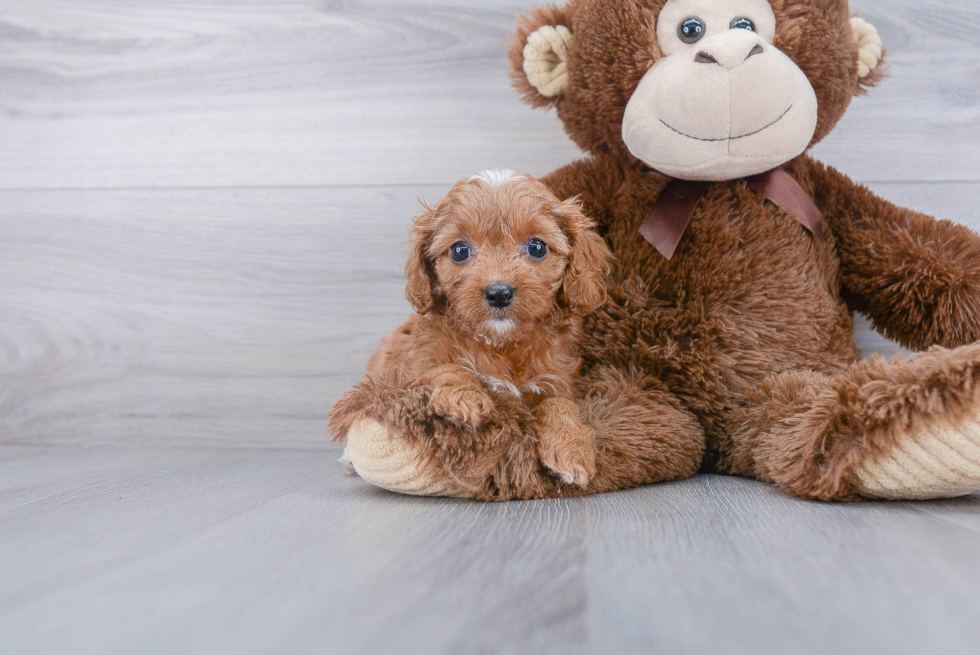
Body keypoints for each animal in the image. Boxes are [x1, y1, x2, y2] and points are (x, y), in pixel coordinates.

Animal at [340, 169, 608, 486]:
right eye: (459, 250)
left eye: (537, 247)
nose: (499, 292)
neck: (500, 342)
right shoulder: (408, 370)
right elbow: (442, 366)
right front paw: (465, 397)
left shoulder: (557, 380)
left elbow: (560, 405)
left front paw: (571, 450)